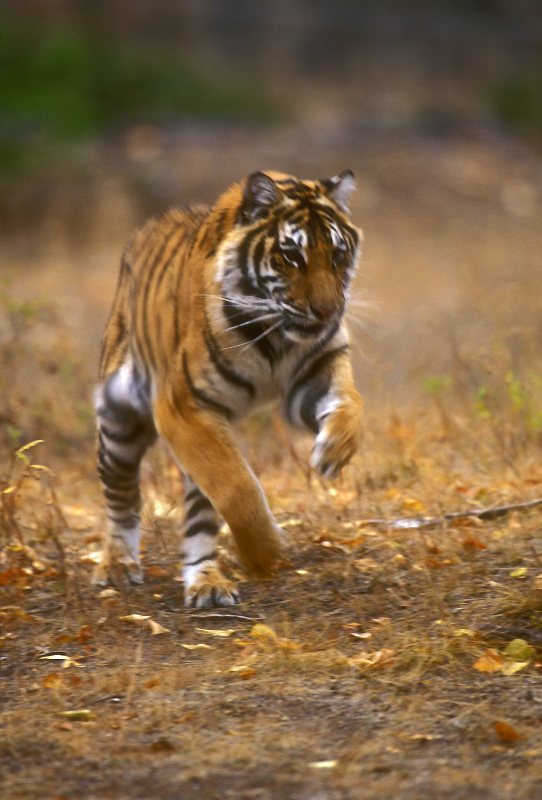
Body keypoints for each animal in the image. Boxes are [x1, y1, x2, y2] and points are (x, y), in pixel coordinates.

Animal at [94, 170, 364, 607]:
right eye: (292, 256)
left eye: (338, 255)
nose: (327, 311)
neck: (276, 336)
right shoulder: (183, 407)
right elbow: (238, 489)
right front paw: (265, 554)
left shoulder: (317, 369)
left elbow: (350, 404)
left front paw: (332, 452)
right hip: (121, 422)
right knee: (121, 494)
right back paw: (119, 564)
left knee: (199, 513)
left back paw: (206, 582)